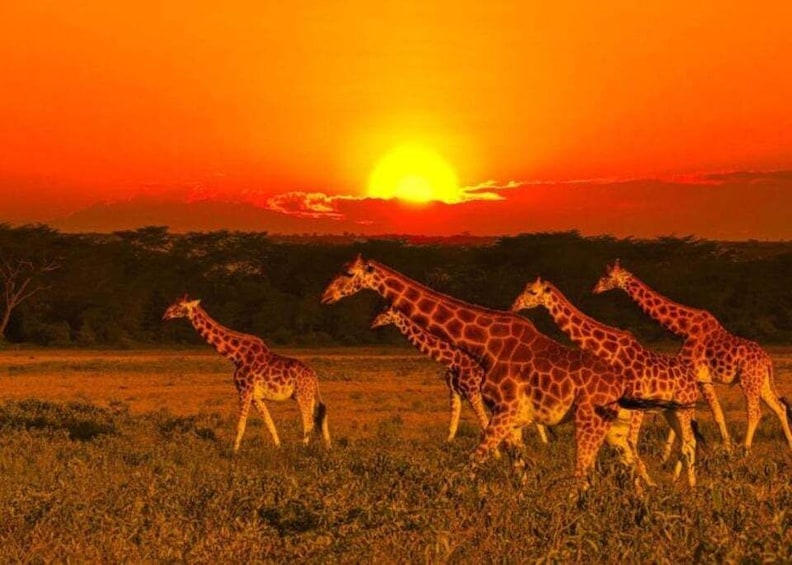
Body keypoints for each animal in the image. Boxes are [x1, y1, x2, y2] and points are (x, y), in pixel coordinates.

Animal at [162, 294, 331, 452]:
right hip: (308, 396)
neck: (236, 356)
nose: (165, 315)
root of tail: (314, 376)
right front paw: (278, 447)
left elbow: (240, 426)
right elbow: (270, 423)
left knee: (308, 421)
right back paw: (327, 448)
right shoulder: (256, 396)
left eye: (179, 305)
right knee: (319, 419)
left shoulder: (245, 390)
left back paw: (304, 448)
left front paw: (233, 452)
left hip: (303, 395)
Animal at [370, 307, 549, 445]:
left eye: (386, 313)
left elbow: (484, 423)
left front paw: (497, 455)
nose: (373, 323)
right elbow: (453, 425)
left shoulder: (472, 393)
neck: (453, 360)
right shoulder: (454, 392)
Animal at [511, 277, 700, 487]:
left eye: (532, 291)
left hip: (683, 408)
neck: (608, 351)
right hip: (671, 411)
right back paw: (680, 481)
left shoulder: (633, 404)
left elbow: (628, 444)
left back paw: (690, 485)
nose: (514, 306)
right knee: (688, 441)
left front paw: (644, 483)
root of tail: (693, 381)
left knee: (689, 441)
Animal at [593, 260, 792, 453]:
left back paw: (746, 450)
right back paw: (789, 445)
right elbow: (716, 414)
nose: (595, 289)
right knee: (780, 407)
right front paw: (726, 449)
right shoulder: (703, 380)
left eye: (607, 276)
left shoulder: (693, 375)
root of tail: (768, 360)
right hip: (761, 382)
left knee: (755, 412)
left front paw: (668, 454)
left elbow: (691, 416)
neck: (683, 328)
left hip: (748, 381)